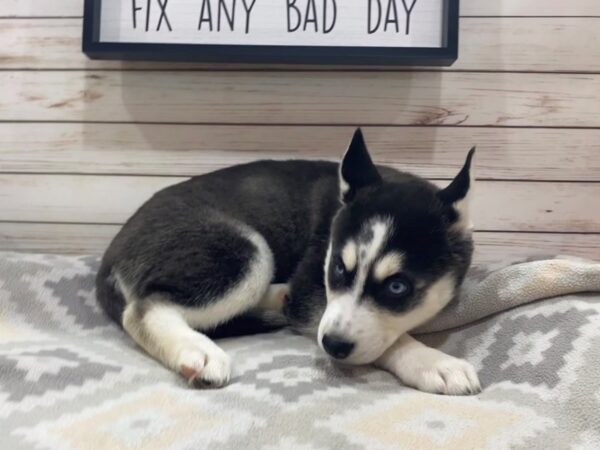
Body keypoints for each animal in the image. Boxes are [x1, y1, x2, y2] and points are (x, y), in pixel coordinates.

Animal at [98, 128, 482, 396]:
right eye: (337, 268)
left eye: (397, 287)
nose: (333, 345)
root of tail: (112, 250)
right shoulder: (313, 290)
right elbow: (389, 340)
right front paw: (431, 361)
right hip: (246, 252)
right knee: (141, 310)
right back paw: (197, 350)